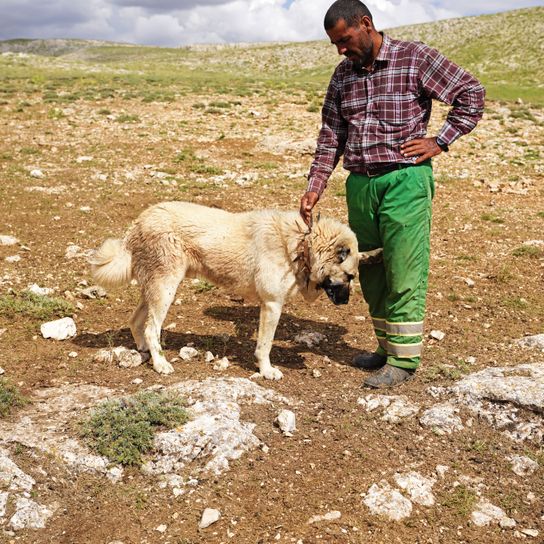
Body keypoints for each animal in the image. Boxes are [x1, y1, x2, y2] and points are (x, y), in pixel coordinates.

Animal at [88, 202, 378, 380]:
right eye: (350, 276)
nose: (346, 303)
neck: (301, 244)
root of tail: (140, 221)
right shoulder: (272, 305)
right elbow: (265, 345)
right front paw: (266, 370)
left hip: (155, 289)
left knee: (137, 320)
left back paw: (144, 350)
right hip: (165, 288)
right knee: (150, 328)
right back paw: (160, 364)